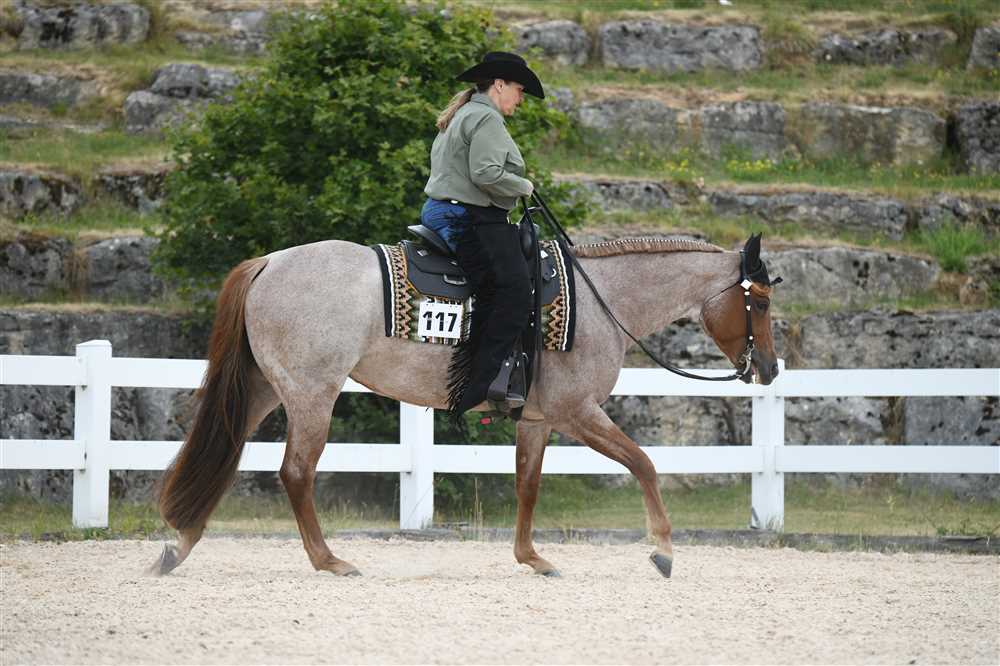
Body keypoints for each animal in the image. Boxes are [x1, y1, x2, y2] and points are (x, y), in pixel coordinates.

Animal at [150, 232, 780, 578]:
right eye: (762, 302)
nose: (771, 369)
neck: (602, 302)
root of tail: (270, 262)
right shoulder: (578, 411)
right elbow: (644, 462)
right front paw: (664, 549)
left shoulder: (538, 419)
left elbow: (528, 484)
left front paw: (532, 557)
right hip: (312, 394)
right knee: (297, 472)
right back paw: (330, 560)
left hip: (262, 388)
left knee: (224, 451)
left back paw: (179, 545)